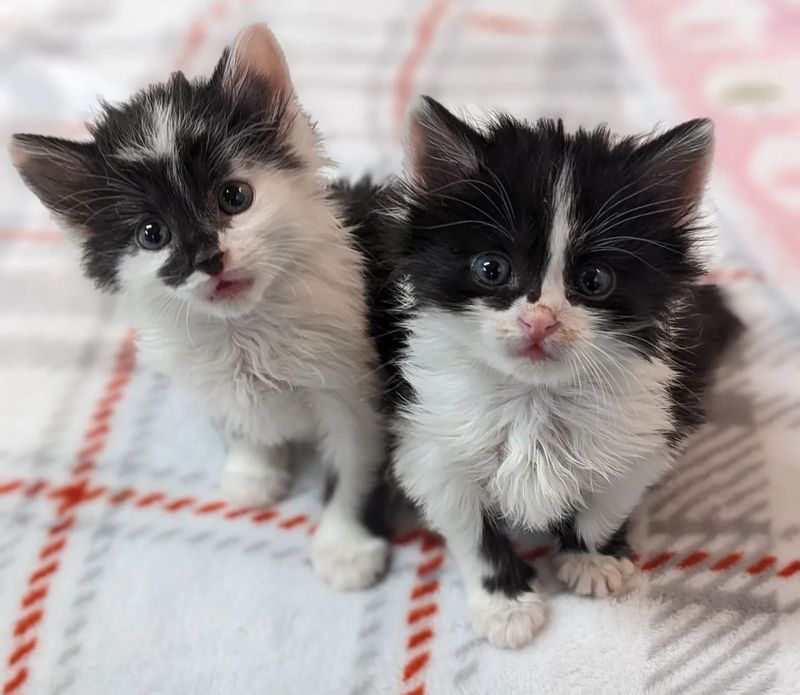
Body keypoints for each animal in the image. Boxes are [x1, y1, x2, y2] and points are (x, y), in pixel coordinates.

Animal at [8, 25, 390, 592]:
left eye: (235, 196)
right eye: (152, 233)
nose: (209, 259)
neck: (246, 331)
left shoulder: (356, 393)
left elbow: (354, 469)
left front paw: (345, 547)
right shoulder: (207, 373)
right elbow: (235, 419)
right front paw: (254, 471)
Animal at [354, 98, 740, 648]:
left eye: (594, 279)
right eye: (491, 269)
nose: (539, 321)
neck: (533, 397)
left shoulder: (648, 428)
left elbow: (609, 499)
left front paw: (592, 556)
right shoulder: (430, 443)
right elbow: (472, 529)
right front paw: (506, 603)